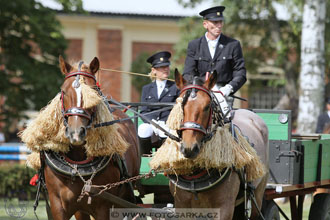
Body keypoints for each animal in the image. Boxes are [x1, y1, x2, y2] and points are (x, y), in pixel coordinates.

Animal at [42, 55, 141, 219]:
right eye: (63, 91)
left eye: (94, 91)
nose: (76, 133)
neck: (77, 165)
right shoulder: (58, 205)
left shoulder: (104, 206)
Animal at [170, 71, 268, 220]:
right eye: (179, 106)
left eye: (207, 107)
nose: (189, 148)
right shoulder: (182, 206)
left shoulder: (224, 208)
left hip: (258, 194)